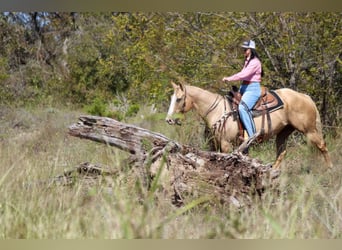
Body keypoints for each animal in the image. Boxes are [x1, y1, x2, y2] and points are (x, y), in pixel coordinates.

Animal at [164, 81, 332, 169]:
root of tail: (304, 96)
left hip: (310, 130)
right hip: (283, 132)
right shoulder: (215, 144)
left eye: (179, 99)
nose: (169, 120)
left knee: (323, 146)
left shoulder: (226, 144)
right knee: (281, 152)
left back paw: (329, 169)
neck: (218, 111)